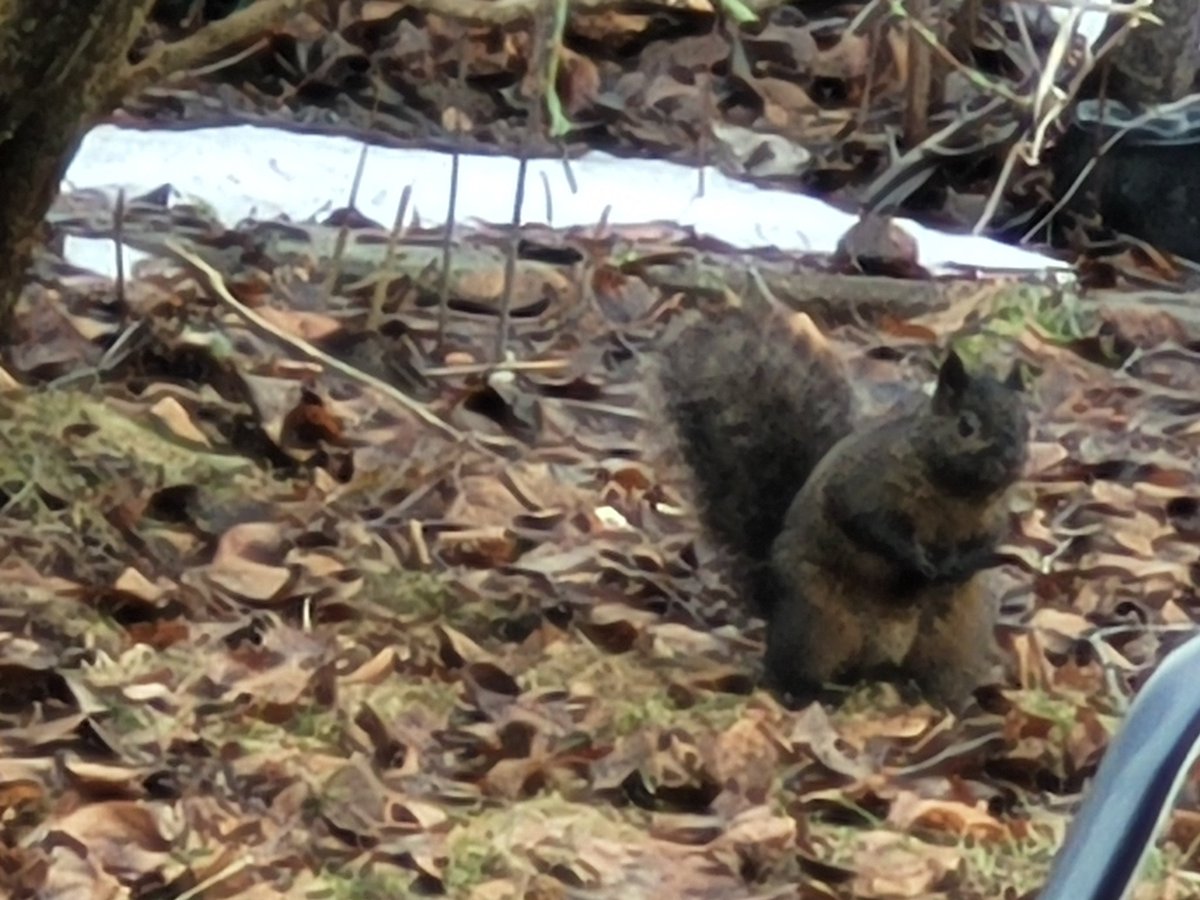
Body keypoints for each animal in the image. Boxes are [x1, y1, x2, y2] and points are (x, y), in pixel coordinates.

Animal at [657, 304, 1029, 710]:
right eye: (966, 426)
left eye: (1027, 424)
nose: (1012, 460)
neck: (957, 491)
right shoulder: (862, 485)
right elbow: (868, 524)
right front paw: (917, 560)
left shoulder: (992, 517)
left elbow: (987, 540)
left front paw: (960, 564)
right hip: (816, 624)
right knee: (794, 672)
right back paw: (810, 692)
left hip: (956, 638)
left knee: (936, 678)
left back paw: (937, 702)